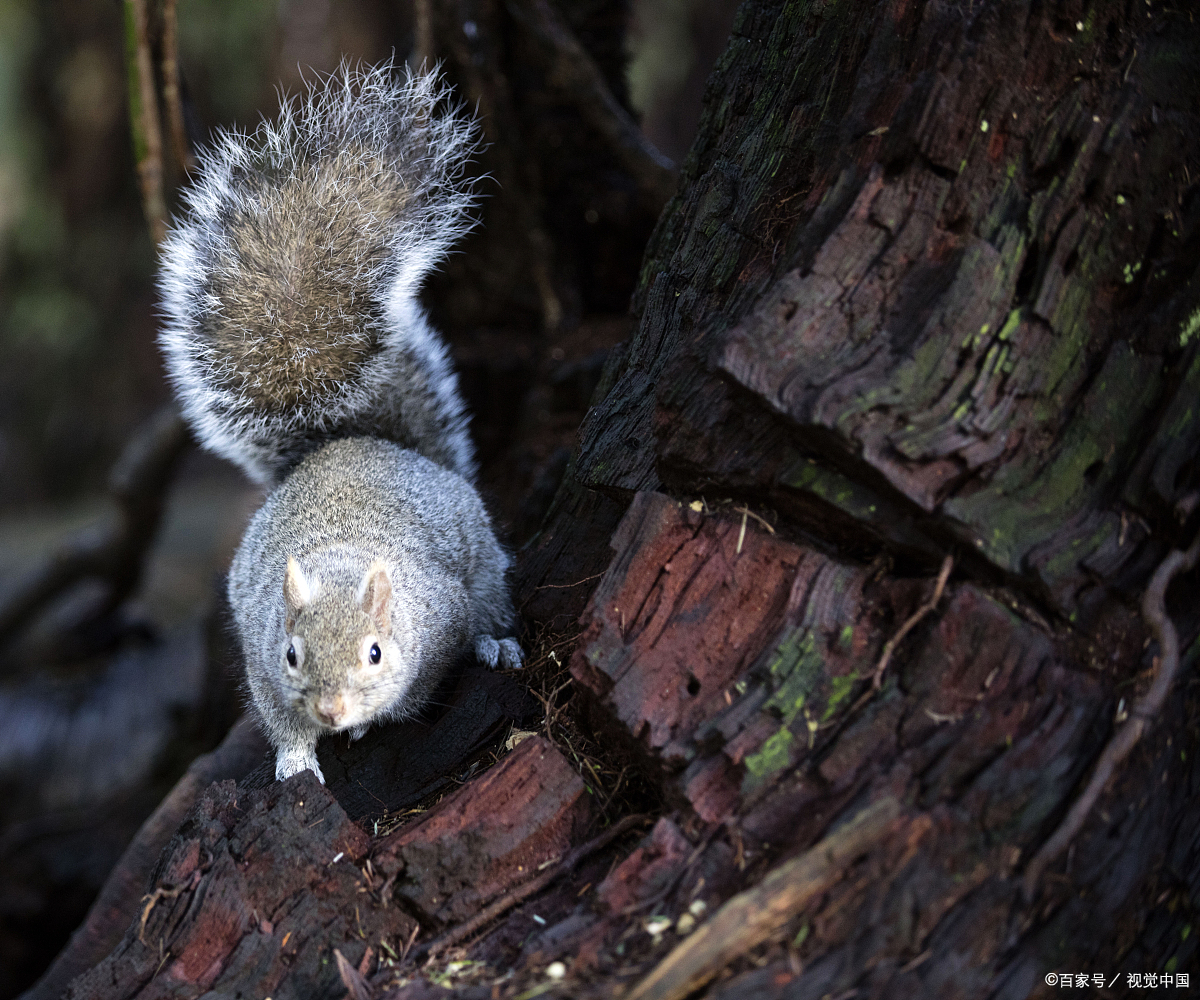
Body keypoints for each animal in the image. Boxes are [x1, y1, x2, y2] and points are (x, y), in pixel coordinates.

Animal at [156, 62, 520, 782]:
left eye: (375, 652)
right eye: (292, 654)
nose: (332, 711)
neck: (343, 559)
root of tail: (354, 440)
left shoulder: (442, 617)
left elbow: (425, 683)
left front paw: (379, 718)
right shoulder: (262, 660)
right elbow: (276, 717)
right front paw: (297, 757)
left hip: (484, 560)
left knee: (493, 598)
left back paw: (497, 645)